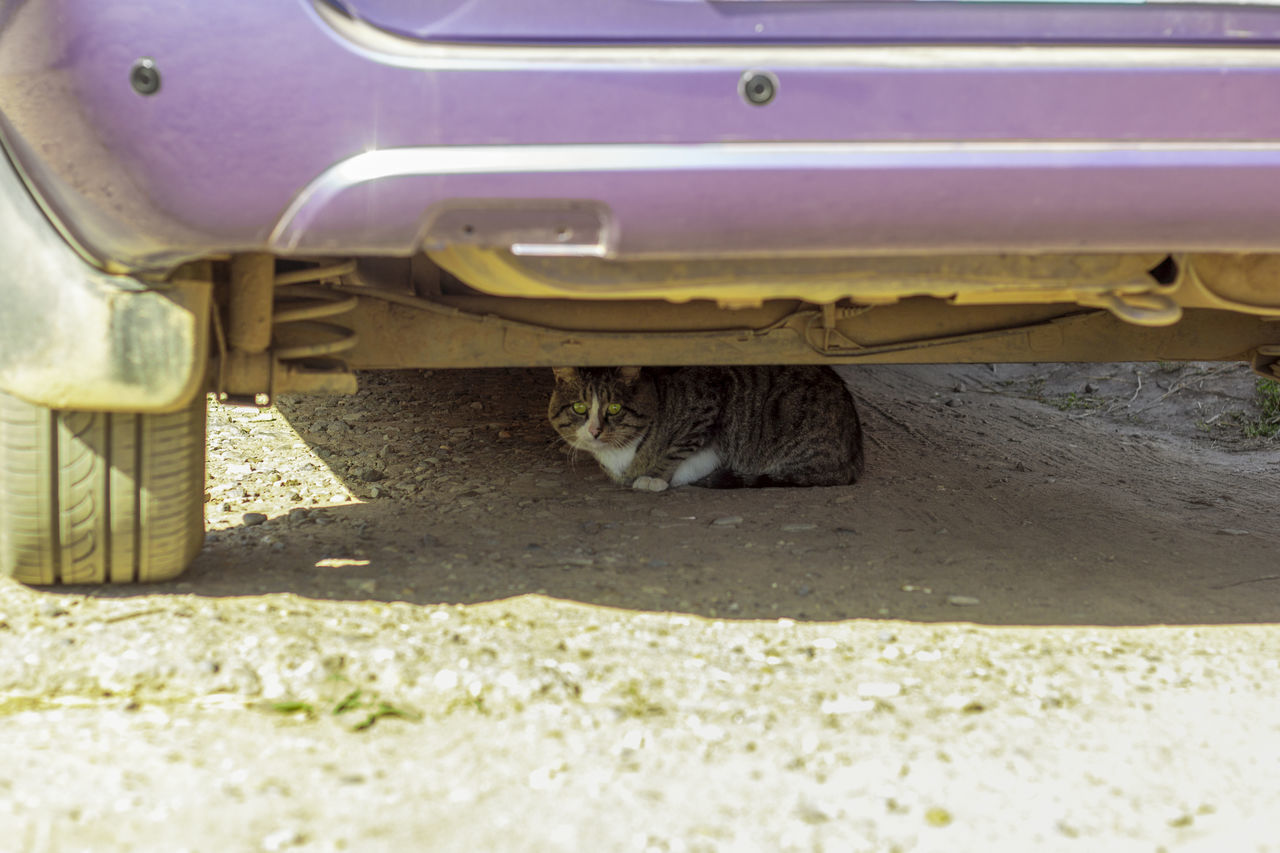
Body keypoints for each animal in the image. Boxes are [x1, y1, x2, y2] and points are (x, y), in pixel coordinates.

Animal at [545, 361, 865, 489]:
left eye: (614, 408)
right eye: (579, 408)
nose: (595, 431)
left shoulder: (708, 401)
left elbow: (677, 449)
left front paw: (653, 477)